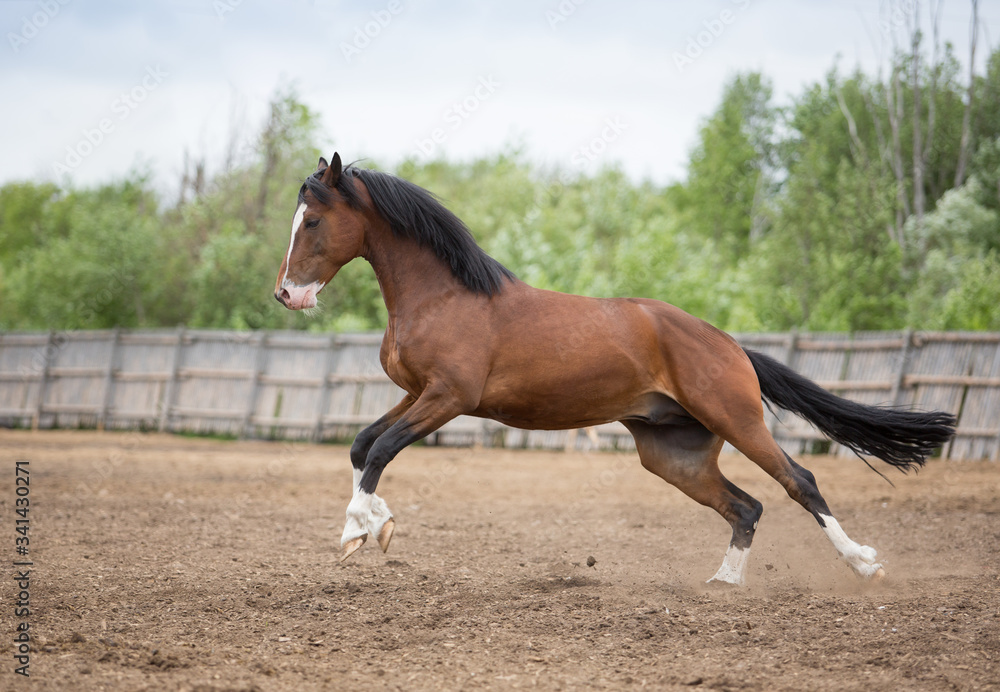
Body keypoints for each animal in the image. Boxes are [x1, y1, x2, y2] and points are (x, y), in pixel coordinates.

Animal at [274, 153, 956, 585]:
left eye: (314, 220)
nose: (287, 295)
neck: (444, 296)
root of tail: (730, 344)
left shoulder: (447, 398)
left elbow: (381, 448)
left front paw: (358, 532)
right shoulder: (417, 393)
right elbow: (362, 445)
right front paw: (373, 527)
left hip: (737, 422)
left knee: (800, 483)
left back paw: (864, 564)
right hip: (674, 454)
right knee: (747, 507)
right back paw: (724, 582)